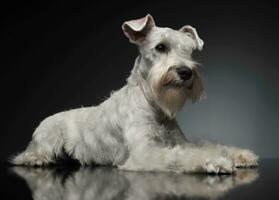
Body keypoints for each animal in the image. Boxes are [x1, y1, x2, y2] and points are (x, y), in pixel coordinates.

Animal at [12, 14, 260, 173]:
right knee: (27, 155)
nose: (186, 72)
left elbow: (202, 145)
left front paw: (239, 155)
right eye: (160, 47)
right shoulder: (146, 152)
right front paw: (216, 160)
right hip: (48, 138)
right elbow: (179, 155)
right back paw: (35, 159)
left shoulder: (179, 141)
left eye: (189, 51)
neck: (153, 105)